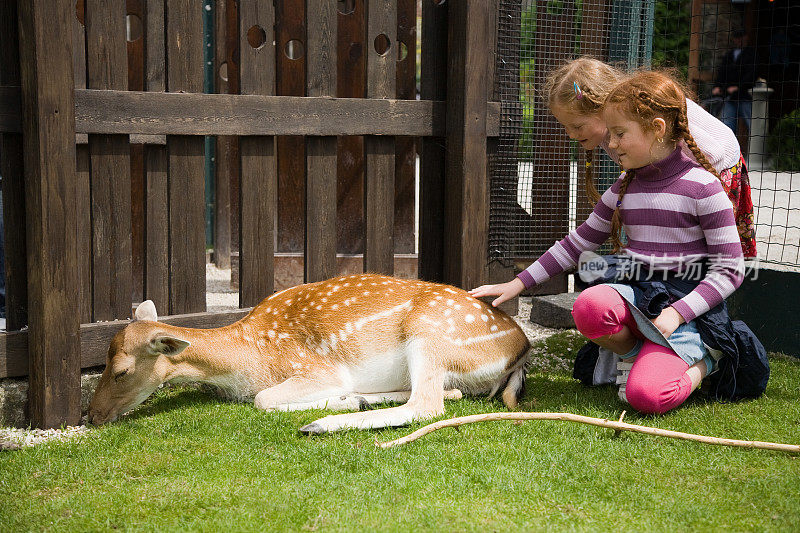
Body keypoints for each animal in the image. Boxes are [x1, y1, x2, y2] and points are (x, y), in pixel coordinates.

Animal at [87, 274, 532, 432]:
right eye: (103, 363)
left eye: (121, 371)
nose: (91, 415)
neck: (246, 360)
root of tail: (523, 348)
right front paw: (349, 400)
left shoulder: (316, 368)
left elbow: (263, 399)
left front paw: (336, 403)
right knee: (446, 394)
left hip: (430, 333)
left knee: (427, 406)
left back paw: (322, 422)